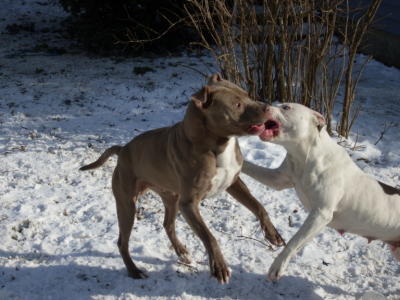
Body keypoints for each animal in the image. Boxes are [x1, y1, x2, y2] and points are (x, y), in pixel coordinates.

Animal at [79, 74, 282, 284]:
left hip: (171, 198)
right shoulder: (189, 204)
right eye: (237, 104)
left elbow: (258, 206)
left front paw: (273, 234)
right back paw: (134, 270)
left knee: (167, 225)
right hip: (127, 204)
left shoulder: (234, 183)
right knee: (122, 241)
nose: (267, 107)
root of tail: (123, 149)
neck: (217, 144)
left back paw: (182, 253)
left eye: (246, 94)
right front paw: (219, 266)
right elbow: (209, 236)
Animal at [241, 103, 400, 282]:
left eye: (286, 107)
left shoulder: (320, 214)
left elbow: (294, 241)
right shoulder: (278, 179)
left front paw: (278, 265)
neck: (304, 156)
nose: (265, 106)